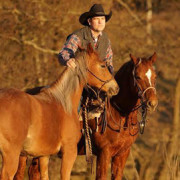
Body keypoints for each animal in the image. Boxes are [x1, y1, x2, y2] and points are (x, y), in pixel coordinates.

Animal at [0, 44, 119, 180]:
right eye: (102, 65)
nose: (116, 87)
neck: (64, 103)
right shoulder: (69, 152)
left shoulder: (44, 155)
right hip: (12, 155)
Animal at [14, 52, 158, 179]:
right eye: (137, 76)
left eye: (155, 76)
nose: (152, 103)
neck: (120, 115)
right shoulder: (104, 153)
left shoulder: (122, 154)